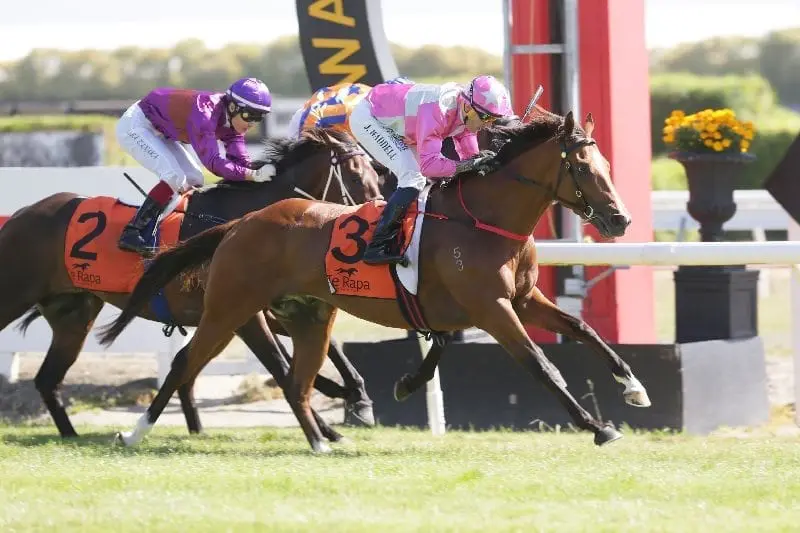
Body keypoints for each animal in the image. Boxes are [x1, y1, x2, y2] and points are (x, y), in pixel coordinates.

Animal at [0, 127, 384, 438]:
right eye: (354, 174)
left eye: (375, 174)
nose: (376, 215)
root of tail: (20, 215)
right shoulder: (244, 315)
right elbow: (279, 363)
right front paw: (329, 423)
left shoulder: (263, 307)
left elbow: (328, 346)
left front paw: (357, 396)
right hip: (16, 294)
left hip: (73, 315)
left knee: (47, 379)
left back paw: (71, 435)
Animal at [100, 108, 652, 454]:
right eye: (582, 166)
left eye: (605, 163)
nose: (621, 220)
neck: (485, 219)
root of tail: (239, 223)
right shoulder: (492, 306)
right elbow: (542, 364)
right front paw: (598, 428)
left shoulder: (522, 298)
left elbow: (584, 331)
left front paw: (633, 387)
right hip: (231, 309)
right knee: (185, 364)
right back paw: (135, 434)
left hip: (303, 315)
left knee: (293, 379)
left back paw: (322, 438)